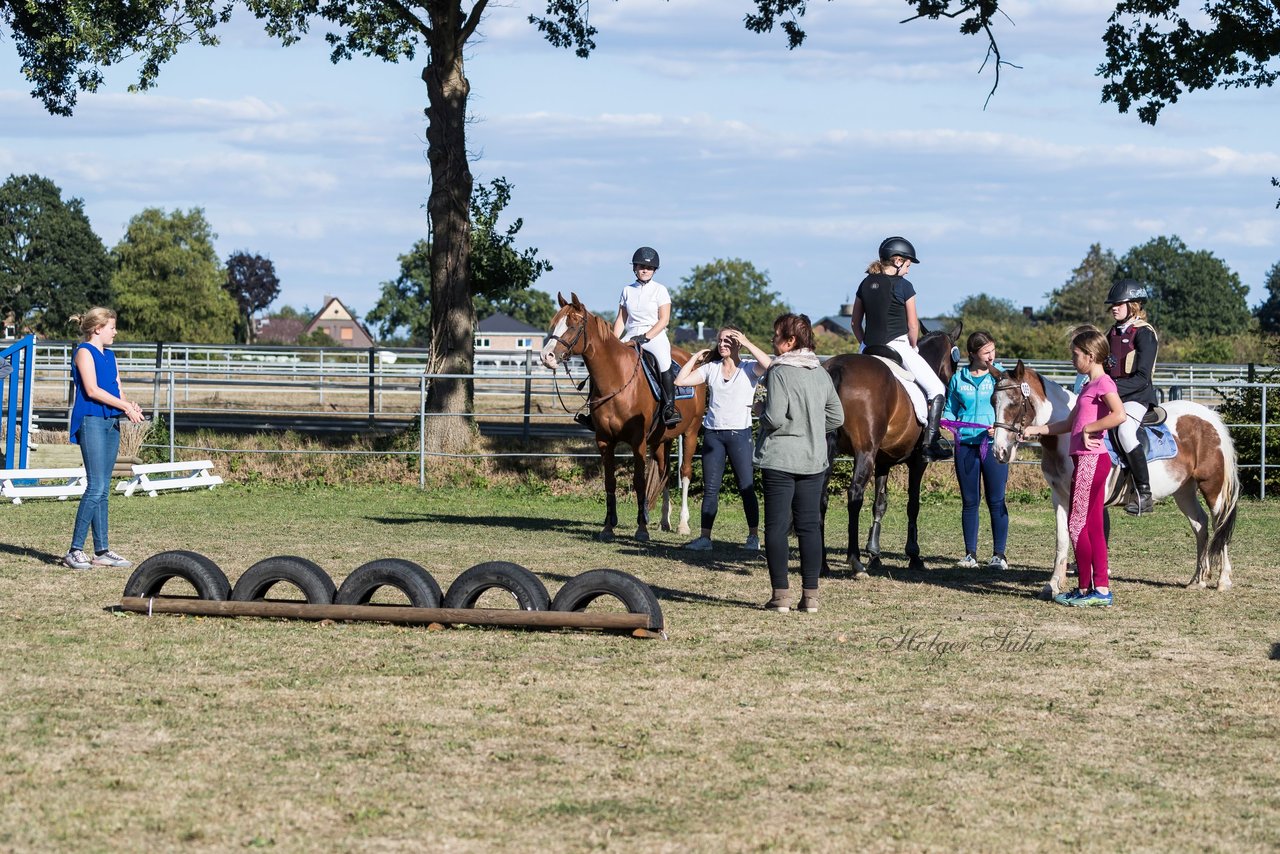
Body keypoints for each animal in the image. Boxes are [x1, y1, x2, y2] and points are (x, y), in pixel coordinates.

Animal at [535, 294, 706, 545]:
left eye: (573, 325)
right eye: (554, 324)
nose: (546, 357)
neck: (617, 378)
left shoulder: (638, 442)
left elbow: (639, 482)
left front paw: (642, 529)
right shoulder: (605, 441)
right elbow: (610, 482)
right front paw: (608, 527)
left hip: (690, 433)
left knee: (684, 473)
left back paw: (683, 524)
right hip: (661, 440)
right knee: (664, 472)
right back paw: (664, 521)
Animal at [819, 323, 962, 578]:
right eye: (954, 362)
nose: (949, 390)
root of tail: (837, 367)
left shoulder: (883, 462)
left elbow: (880, 503)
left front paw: (874, 553)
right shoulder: (918, 462)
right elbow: (913, 505)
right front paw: (914, 555)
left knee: (820, 495)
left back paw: (823, 563)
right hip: (864, 452)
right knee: (855, 495)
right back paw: (855, 562)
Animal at [988, 363, 1239, 599]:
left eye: (1015, 403)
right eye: (992, 402)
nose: (1000, 451)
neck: (1068, 436)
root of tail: (1209, 417)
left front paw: (1089, 586)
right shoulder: (1059, 497)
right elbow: (1062, 541)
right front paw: (1052, 586)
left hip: (1212, 488)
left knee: (1219, 524)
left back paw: (1223, 580)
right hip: (1183, 491)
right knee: (1200, 525)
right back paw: (1198, 579)